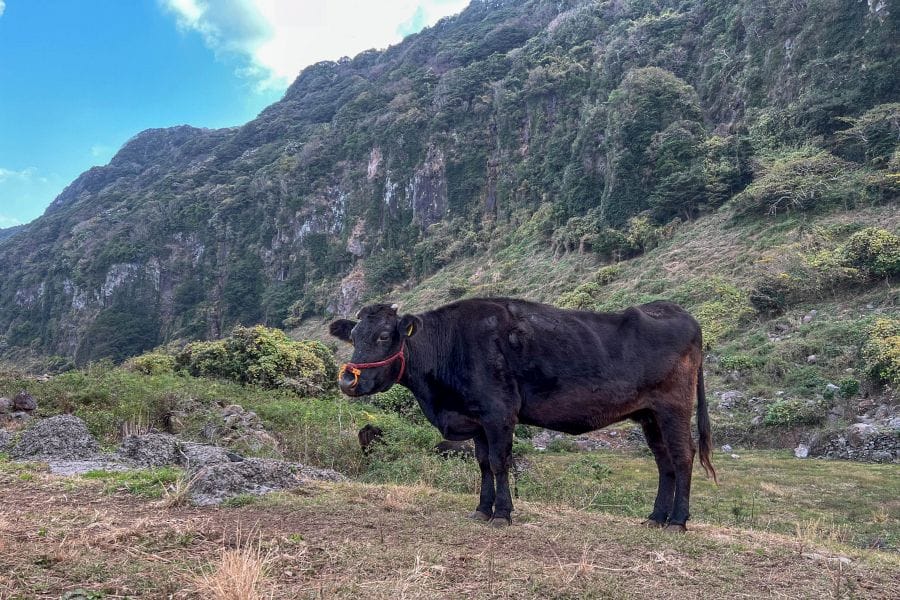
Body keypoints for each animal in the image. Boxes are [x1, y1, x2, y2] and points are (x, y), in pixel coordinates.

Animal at [329, 298, 717, 531]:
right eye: (353, 335)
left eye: (383, 336)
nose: (348, 379)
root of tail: (678, 312)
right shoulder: (477, 420)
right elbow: (483, 464)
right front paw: (482, 509)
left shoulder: (499, 412)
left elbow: (500, 463)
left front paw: (502, 514)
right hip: (649, 415)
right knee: (664, 463)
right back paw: (656, 518)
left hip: (674, 408)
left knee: (683, 457)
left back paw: (678, 521)